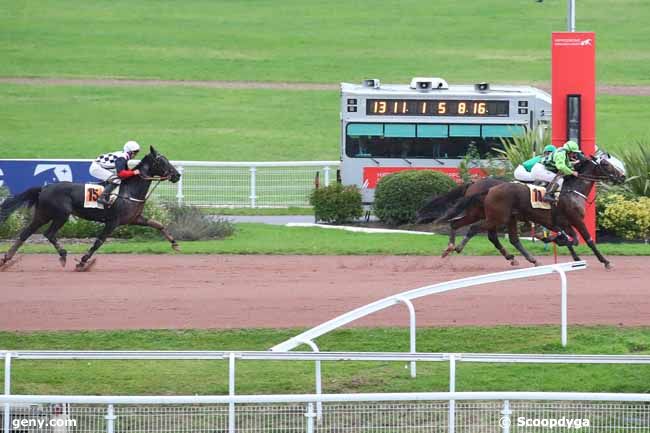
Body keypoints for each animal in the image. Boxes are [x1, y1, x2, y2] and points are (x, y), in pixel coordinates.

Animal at [0, 148, 180, 270]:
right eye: (161, 161)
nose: (177, 175)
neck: (130, 190)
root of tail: (44, 188)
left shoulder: (135, 219)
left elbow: (158, 225)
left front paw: (175, 244)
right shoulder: (113, 222)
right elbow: (98, 242)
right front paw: (83, 261)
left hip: (43, 215)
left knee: (26, 233)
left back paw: (7, 258)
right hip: (61, 215)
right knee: (48, 234)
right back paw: (63, 255)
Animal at [440, 151, 624, 266]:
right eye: (607, 164)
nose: (622, 177)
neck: (572, 189)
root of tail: (490, 189)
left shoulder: (562, 222)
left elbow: (572, 240)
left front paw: (563, 246)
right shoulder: (575, 220)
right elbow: (587, 239)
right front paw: (605, 261)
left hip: (500, 216)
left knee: (506, 237)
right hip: (496, 217)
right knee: (475, 229)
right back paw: (457, 247)